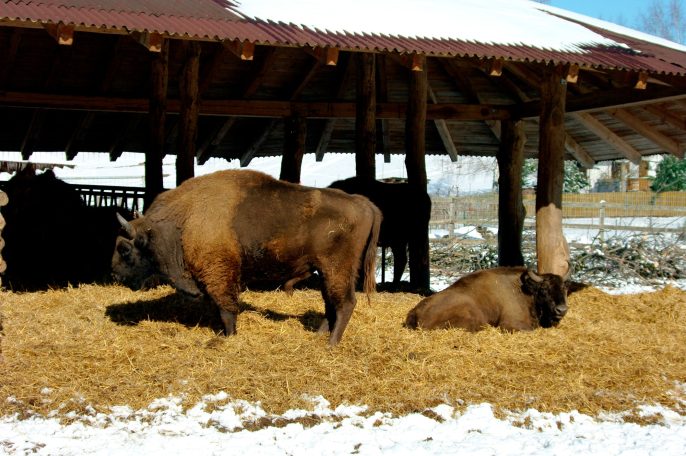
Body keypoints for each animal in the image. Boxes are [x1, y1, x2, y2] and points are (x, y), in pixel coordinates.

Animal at [112, 169, 382, 345]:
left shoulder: (220, 275)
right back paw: (317, 337)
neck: (182, 220)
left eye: (124, 249)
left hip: (337, 268)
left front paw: (228, 336)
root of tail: (362, 202)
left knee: (345, 303)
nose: (115, 274)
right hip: (325, 270)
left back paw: (331, 343)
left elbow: (226, 308)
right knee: (330, 303)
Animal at [405, 266, 571, 332]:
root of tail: (415, 312)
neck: (526, 292)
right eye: (544, 290)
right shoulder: (511, 323)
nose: (561, 310)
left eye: (564, 289)